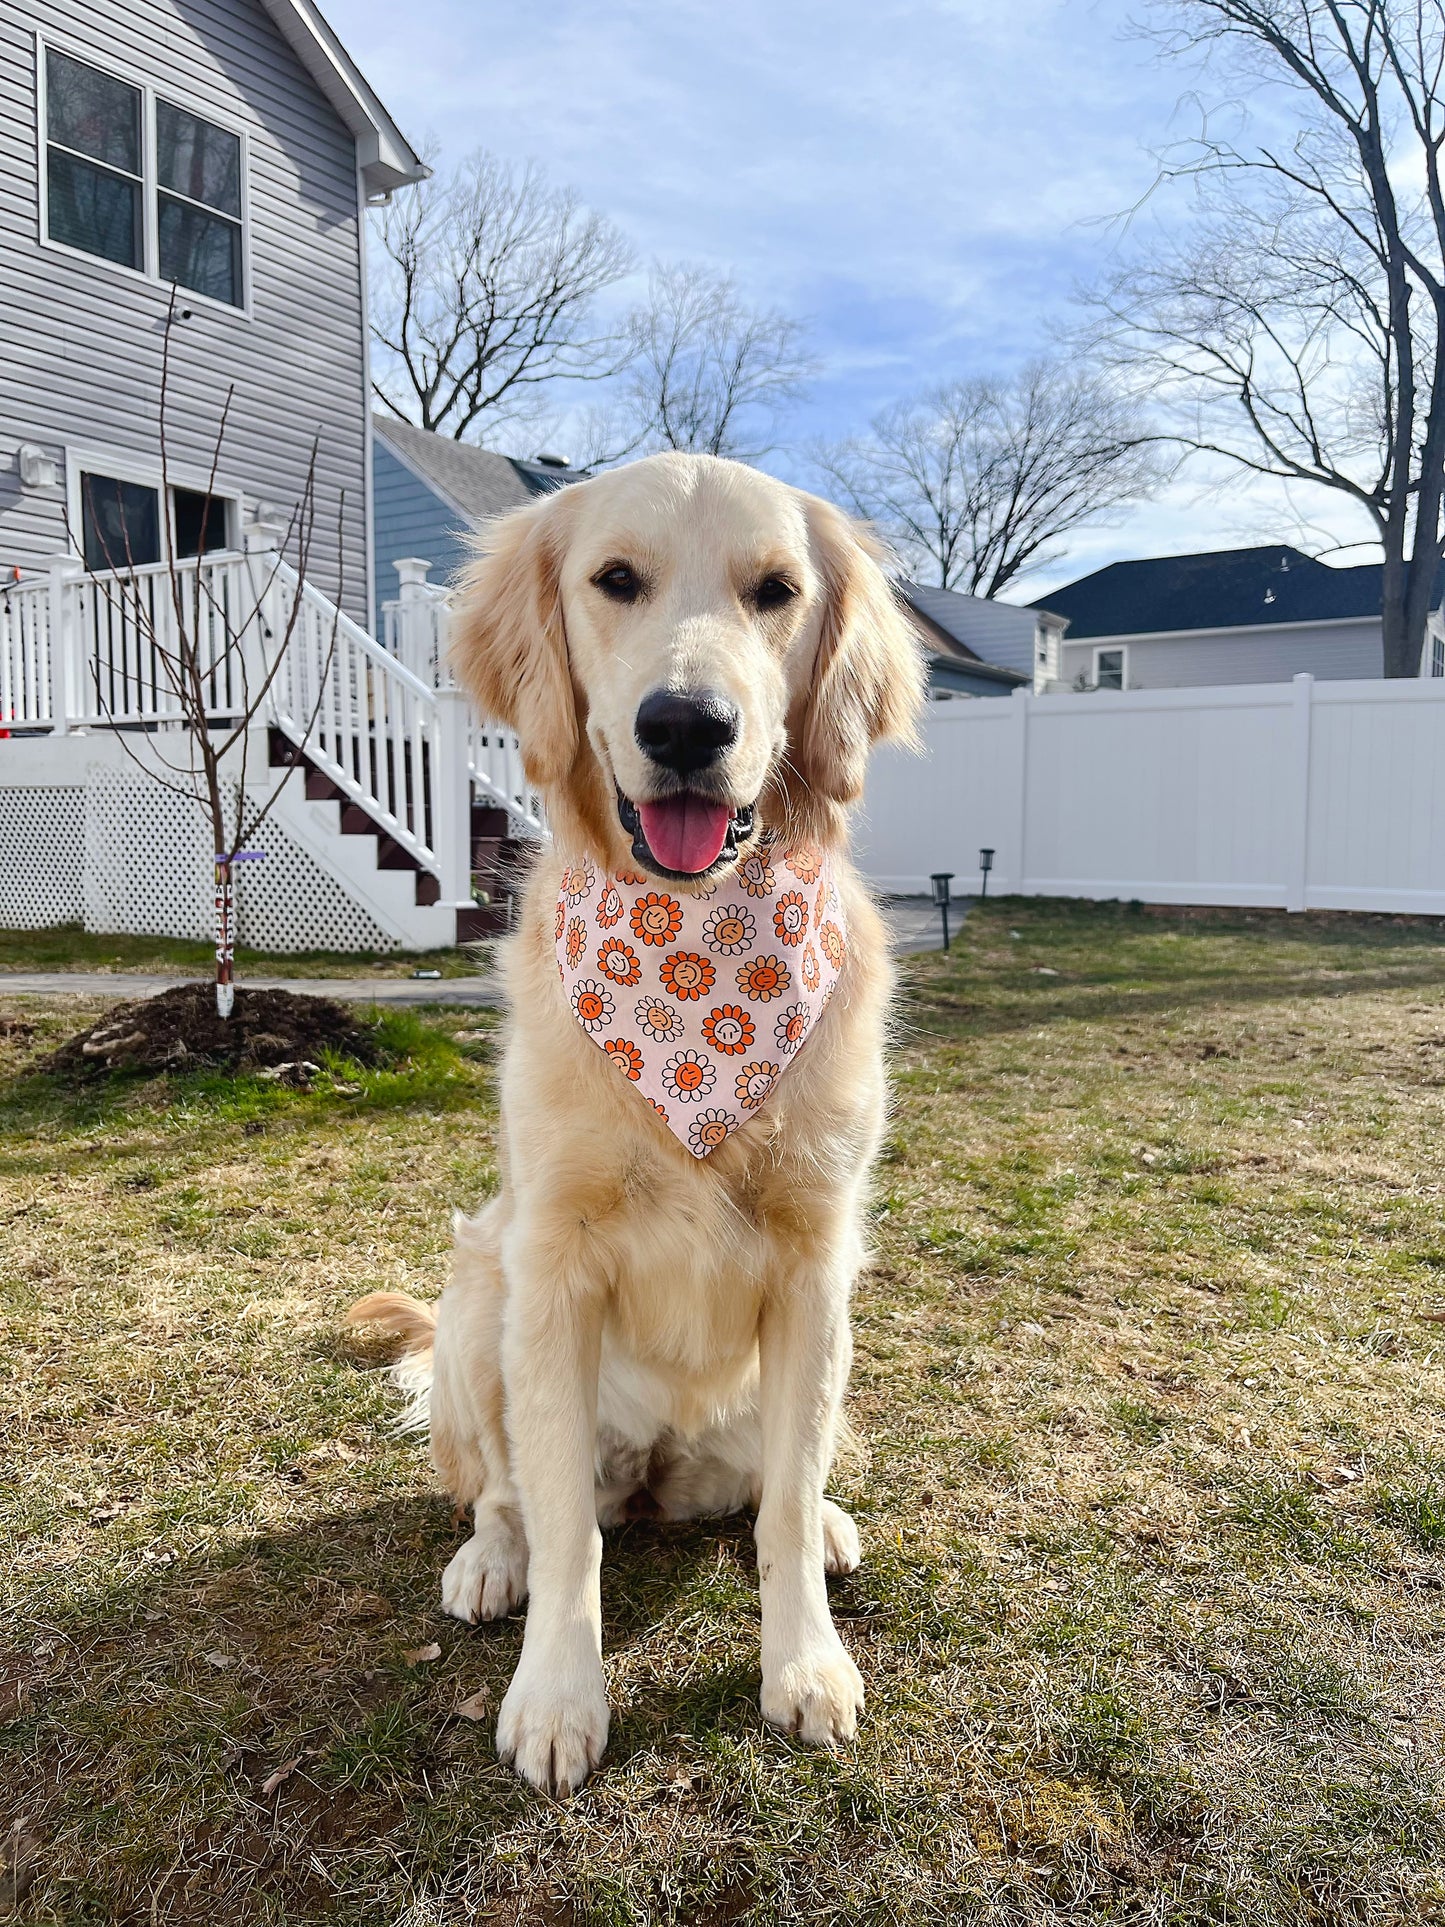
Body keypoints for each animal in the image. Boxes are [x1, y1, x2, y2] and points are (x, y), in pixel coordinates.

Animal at [350, 450, 920, 1788]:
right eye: (615, 580)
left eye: (775, 591)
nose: (685, 726)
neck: (696, 948)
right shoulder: (551, 1260)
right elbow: (566, 1528)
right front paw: (558, 1695)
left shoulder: (817, 1260)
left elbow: (779, 1506)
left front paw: (802, 1662)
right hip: (480, 1296)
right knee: (504, 1493)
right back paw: (487, 1560)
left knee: (776, 1481)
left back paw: (824, 1519)